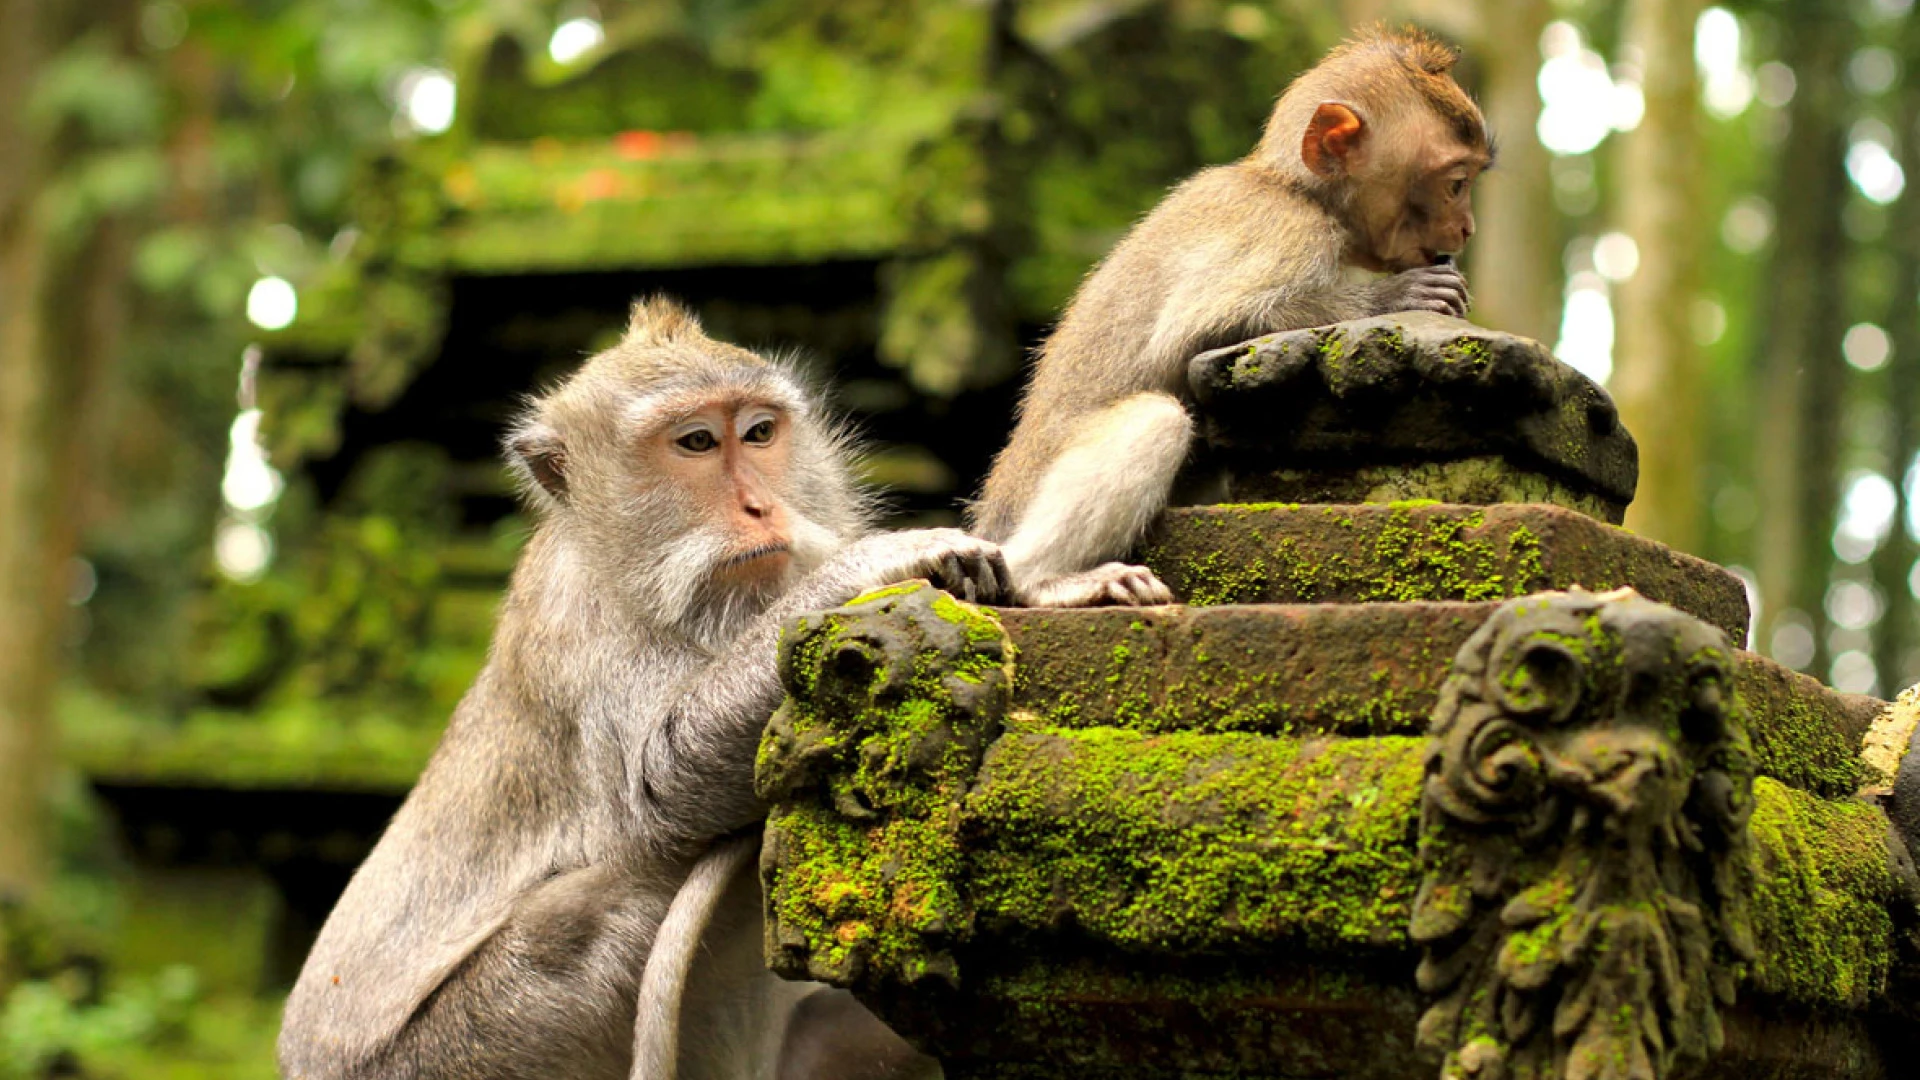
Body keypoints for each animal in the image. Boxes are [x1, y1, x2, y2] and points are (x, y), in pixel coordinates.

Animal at [278, 296, 999, 1080]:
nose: (758, 506)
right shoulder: (581, 626)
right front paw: (871, 563)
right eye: (696, 443)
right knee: (620, 895)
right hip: (475, 1043)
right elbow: (661, 785)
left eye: (759, 433)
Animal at [970, 27, 1490, 608]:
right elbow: (1194, 332)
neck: (1298, 189)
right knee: (1157, 419)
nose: (1466, 228)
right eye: (1455, 183)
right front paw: (1395, 297)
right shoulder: (1289, 231)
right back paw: (1043, 580)